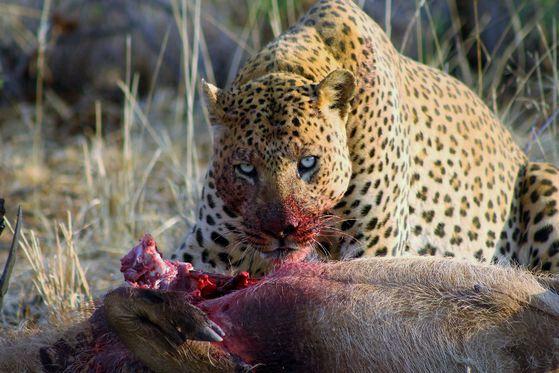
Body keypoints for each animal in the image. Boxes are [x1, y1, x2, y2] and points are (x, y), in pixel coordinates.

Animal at [171, 0, 559, 274]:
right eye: (245, 169)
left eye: (308, 163)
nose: (283, 229)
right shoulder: (204, 247)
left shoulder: (372, 246)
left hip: (542, 177)